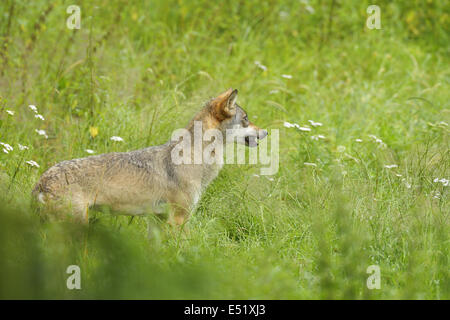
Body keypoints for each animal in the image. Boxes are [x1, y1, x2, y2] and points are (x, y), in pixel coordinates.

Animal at [33, 89, 268, 226]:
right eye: (246, 119)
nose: (265, 132)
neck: (196, 156)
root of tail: (41, 182)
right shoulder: (179, 218)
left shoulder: (157, 220)